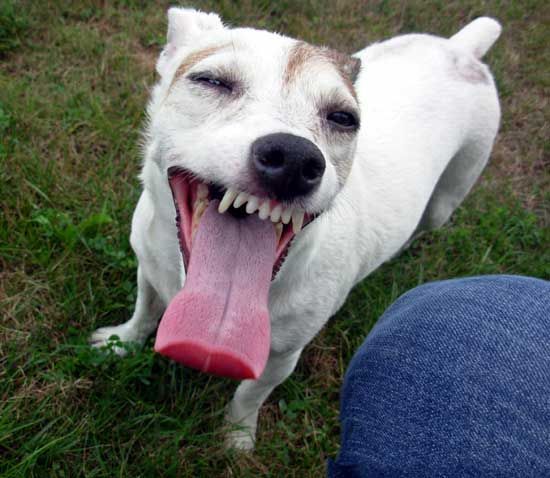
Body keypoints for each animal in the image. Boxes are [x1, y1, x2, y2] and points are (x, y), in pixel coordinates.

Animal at [88, 6, 502, 448]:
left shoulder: (281, 357)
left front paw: (236, 438)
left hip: (449, 195)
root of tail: (462, 48)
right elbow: (144, 311)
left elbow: (249, 395)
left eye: (344, 118)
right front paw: (120, 342)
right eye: (211, 80)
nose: (293, 157)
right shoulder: (148, 270)